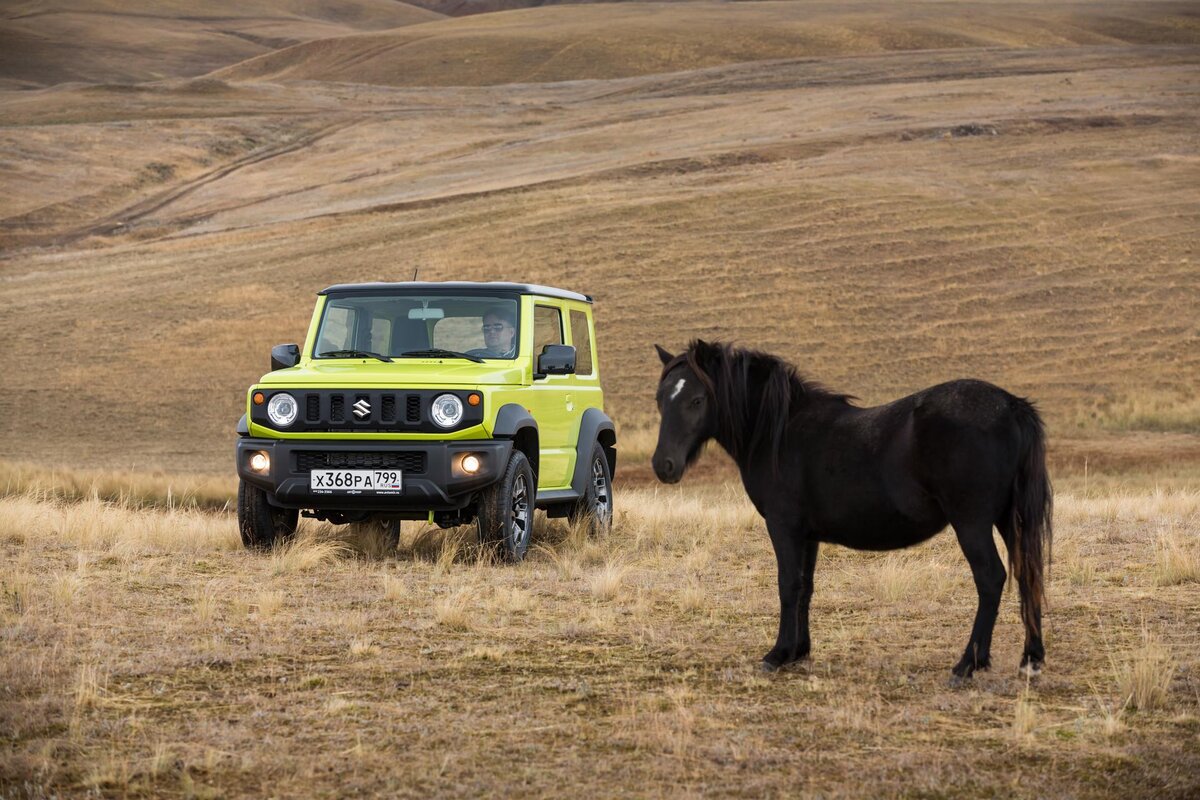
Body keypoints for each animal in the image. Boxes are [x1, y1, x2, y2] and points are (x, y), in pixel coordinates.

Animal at [652, 340, 1056, 681]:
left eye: (697, 400)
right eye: (660, 399)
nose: (663, 465)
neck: (778, 433)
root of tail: (1011, 405)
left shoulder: (783, 527)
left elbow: (787, 585)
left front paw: (777, 654)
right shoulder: (807, 535)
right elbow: (805, 587)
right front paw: (799, 651)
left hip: (972, 523)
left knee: (991, 579)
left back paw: (967, 664)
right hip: (1009, 520)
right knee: (1026, 573)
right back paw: (1031, 660)